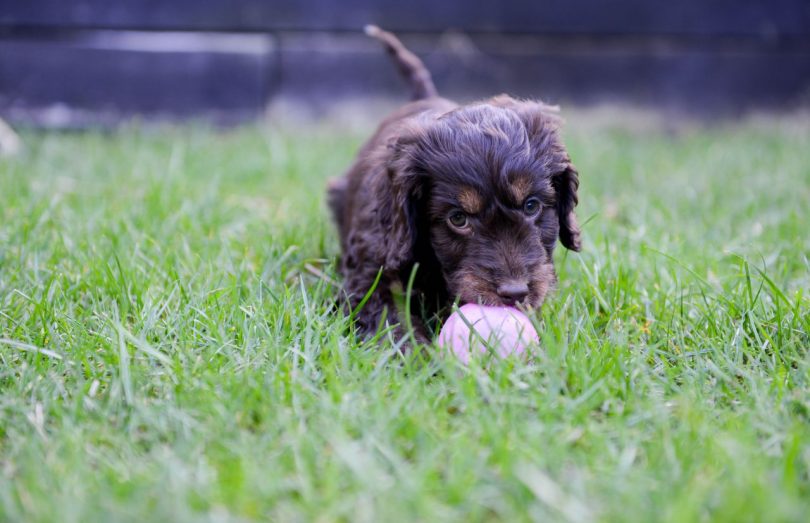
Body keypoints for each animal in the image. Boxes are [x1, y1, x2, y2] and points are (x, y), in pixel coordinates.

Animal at [328, 26, 580, 344]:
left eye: (531, 206)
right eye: (458, 219)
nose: (515, 293)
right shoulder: (371, 276)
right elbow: (389, 318)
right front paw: (419, 353)